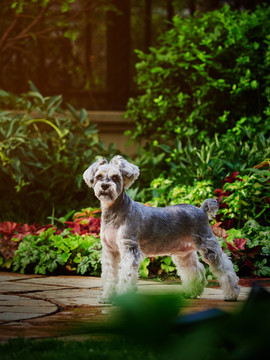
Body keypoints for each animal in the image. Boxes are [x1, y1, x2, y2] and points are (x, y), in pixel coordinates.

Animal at [83, 155, 240, 304]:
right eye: (99, 176)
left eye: (115, 177)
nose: (104, 186)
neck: (114, 212)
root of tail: (201, 210)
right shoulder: (110, 251)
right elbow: (109, 276)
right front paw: (106, 297)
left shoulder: (129, 249)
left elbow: (126, 275)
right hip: (183, 254)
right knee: (196, 271)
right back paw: (192, 293)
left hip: (208, 248)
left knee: (226, 269)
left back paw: (231, 294)